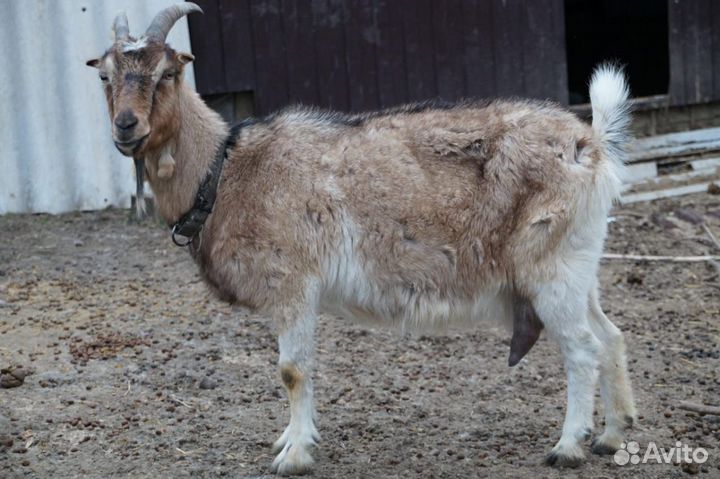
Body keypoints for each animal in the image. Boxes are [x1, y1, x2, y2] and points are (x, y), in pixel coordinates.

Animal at [87, 4, 636, 474]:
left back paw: (568, 447)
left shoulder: (293, 283)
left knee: (582, 348)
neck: (226, 170)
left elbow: (293, 369)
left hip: (549, 268)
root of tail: (591, 142)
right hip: (578, 264)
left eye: (167, 73)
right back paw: (611, 436)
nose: (127, 127)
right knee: (610, 334)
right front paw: (290, 440)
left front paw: (294, 455)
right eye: (104, 75)